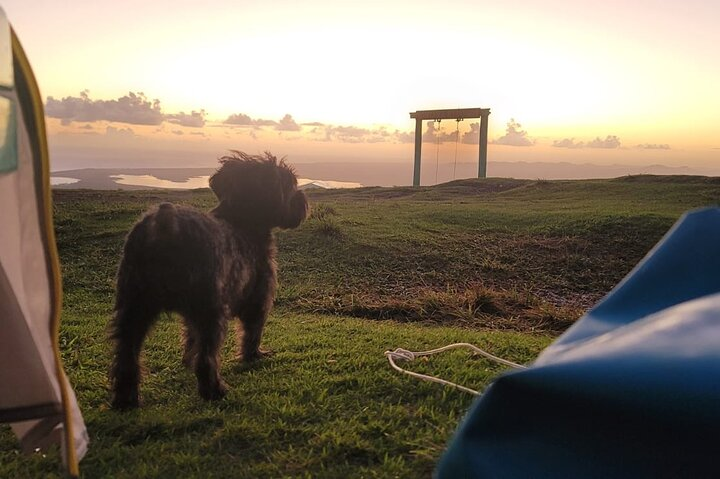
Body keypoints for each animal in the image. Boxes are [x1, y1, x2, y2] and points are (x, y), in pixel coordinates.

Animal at [109, 152, 306, 410]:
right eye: (290, 185)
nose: (302, 198)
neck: (242, 220)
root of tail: (165, 226)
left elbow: (189, 337)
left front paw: (186, 360)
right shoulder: (259, 298)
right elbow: (252, 331)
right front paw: (253, 356)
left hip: (133, 307)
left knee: (126, 354)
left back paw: (126, 399)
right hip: (210, 311)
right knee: (208, 356)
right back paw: (214, 390)